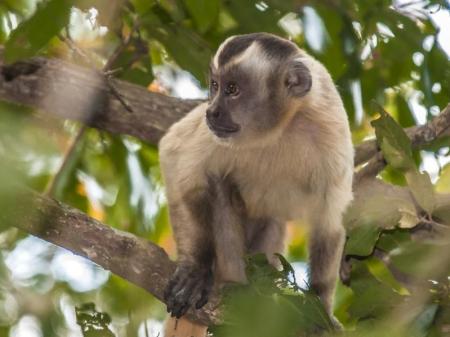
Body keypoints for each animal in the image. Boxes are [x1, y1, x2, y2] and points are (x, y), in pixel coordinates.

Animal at [160, 32, 354, 334]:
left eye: (232, 89)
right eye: (215, 86)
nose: (212, 111)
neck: (284, 126)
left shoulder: (331, 124)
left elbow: (329, 219)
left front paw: (319, 308)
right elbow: (175, 159)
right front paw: (195, 268)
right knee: (218, 183)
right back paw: (235, 284)